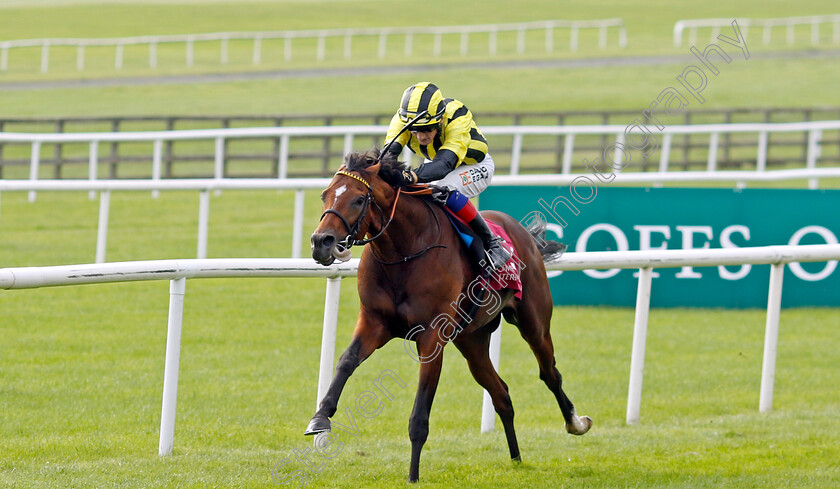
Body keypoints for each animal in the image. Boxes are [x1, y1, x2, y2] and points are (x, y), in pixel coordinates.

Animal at [308, 148, 592, 480]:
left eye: (356, 199)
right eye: (325, 195)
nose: (321, 242)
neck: (404, 251)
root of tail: (525, 236)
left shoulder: (432, 337)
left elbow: (420, 413)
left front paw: (413, 476)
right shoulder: (374, 322)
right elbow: (346, 361)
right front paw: (320, 419)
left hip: (534, 322)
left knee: (549, 372)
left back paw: (576, 423)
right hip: (472, 340)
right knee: (501, 393)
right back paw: (516, 458)